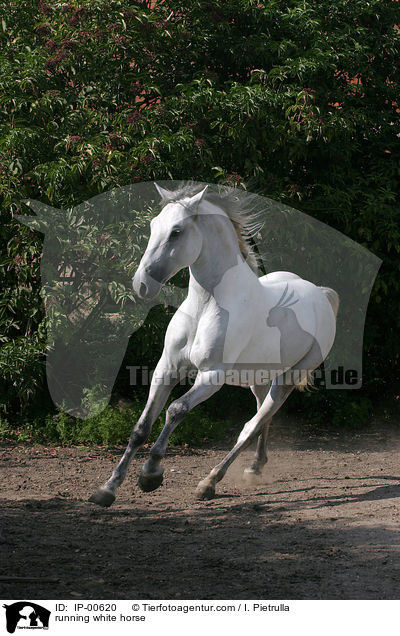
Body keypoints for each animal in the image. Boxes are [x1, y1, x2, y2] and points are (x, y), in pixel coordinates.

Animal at [89, 183, 340, 506]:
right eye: (153, 225)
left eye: (177, 232)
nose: (141, 285)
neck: (206, 305)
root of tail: (321, 294)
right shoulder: (167, 367)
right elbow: (140, 427)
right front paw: (108, 488)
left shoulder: (211, 376)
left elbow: (176, 410)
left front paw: (151, 474)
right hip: (259, 379)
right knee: (263, 419)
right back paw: (255, 468)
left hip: (287, 379)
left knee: (251, 426)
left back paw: (209, 482)